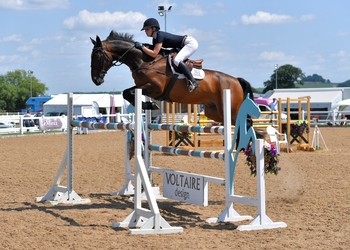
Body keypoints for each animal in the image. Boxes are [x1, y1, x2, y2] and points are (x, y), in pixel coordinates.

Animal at [90, 30, 254, 125]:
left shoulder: (155, 88)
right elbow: (127, 93)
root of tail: (236, 80)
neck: (144, 61)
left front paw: (151, 105)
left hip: (231, 110)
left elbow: (128, 92)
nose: (96, 80)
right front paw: (149, 105)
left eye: (96, 56)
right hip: (214, 112)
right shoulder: (143, 86)